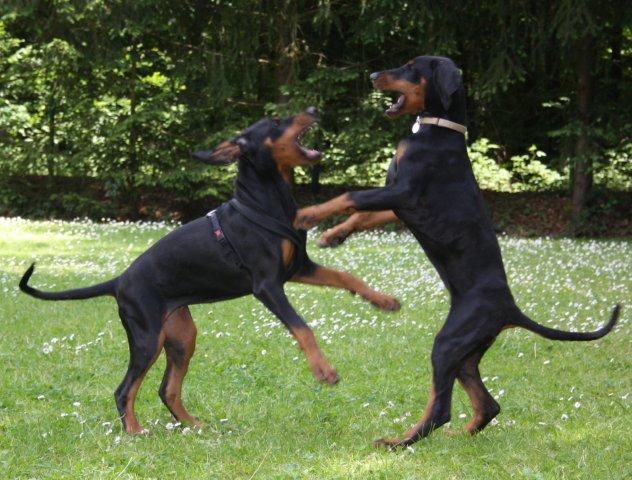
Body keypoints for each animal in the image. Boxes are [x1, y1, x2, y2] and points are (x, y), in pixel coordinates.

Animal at [19, 107, 400, 434]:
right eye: (276, 121)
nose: (313, 109)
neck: (267, 201)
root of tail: (118, 282)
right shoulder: (267, 285)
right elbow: (302, 326)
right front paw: (323, 370)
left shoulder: (297, 268)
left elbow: (346, 277)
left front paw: (383, 301)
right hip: (147, 337)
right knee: (124, 388)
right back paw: (135, 431)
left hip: (181, 335)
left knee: (167, 389)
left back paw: (195, 426)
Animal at [294, 57, 620, 450]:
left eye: (410, 67)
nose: (372, 76)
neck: (438, 130)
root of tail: (511, 309)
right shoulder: (400, 204)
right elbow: (361, 214)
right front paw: (333, 236)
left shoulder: (403, 192)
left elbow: (348, 196)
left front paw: (307, 215)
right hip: (466, 353)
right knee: (487, 404)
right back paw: (459, 436)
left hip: (447, 344)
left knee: (441, 409)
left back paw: (399, 442)